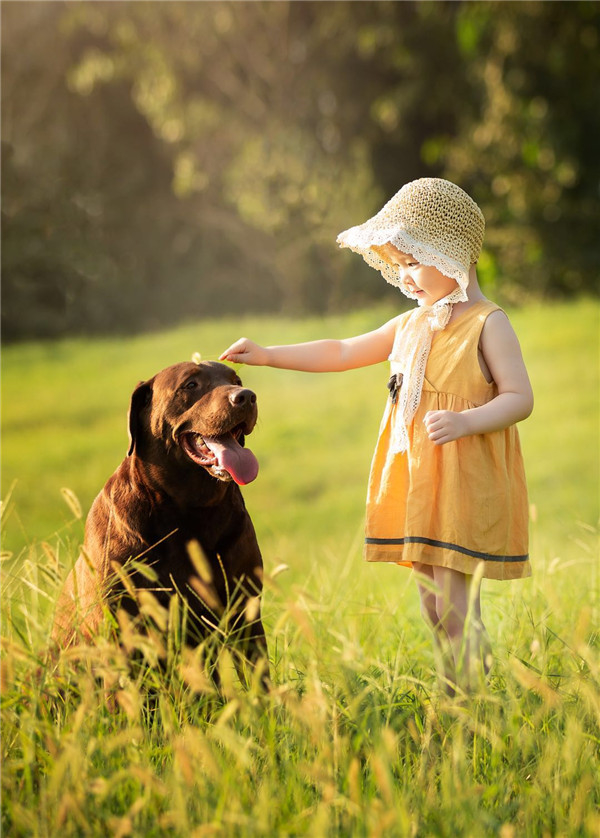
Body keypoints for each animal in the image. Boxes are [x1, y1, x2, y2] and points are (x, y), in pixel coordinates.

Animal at [51, 360, 268, 688]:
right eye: (191, 385)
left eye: (236, 380)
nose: (246, 396)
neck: (190, 510)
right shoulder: (122, 624)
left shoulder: (246, 609)